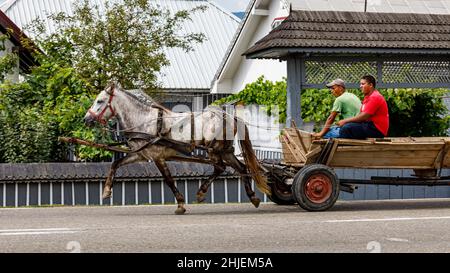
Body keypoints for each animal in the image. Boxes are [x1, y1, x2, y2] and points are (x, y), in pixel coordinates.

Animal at [84, 82, 270, 214]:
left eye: (100, 101)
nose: (86, 119)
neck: (144, 121)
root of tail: (229, 116)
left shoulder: (158, 156)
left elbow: (168, 179)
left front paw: (180, 203)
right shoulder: (141, 154)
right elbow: (115, 164)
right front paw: (106, 191)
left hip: (215, 150)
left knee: (220, 168)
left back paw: (201, 192)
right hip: (226, 152)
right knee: (241, 168)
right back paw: (253, 197)